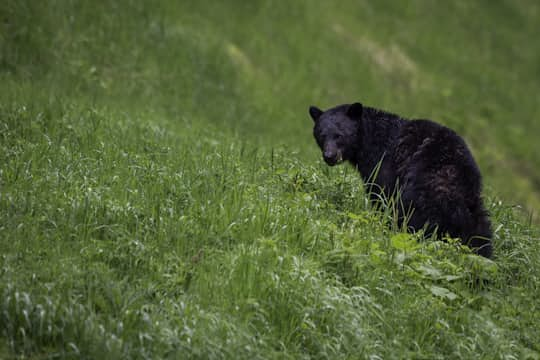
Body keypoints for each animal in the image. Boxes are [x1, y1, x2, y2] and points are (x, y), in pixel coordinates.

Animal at [308, 102, 494, 258]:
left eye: (339, 135)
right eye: (321, 135)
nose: (329, 156)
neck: (368, 141)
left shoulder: (383, 165)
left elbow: (381, 195)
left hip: (421, 192)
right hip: (475, 208)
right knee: (481, 233)